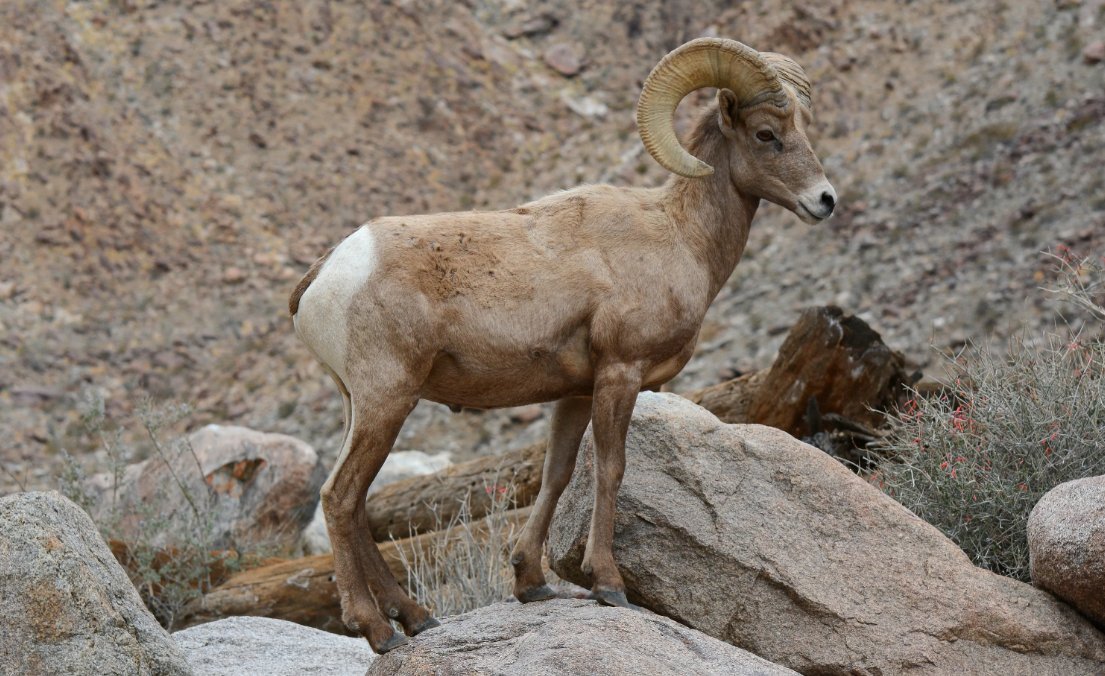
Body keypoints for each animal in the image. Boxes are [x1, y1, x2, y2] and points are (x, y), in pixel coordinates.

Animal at [289, 38, 830, 653]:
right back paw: (380, 632)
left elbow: (558, 473)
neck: (679, 234)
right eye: (766, 134)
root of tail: (329, 272)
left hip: (362, 407)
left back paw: (418, 618)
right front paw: (608, 584)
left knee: (356, 506)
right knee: (340, 498)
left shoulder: (575, 392)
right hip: (387, 400)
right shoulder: (621, 372)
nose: (825, 200)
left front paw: (532, 582)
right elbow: (611, 469)